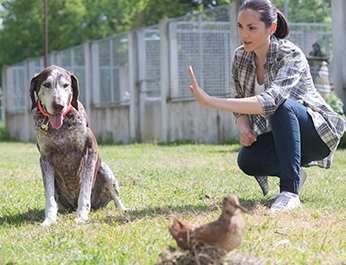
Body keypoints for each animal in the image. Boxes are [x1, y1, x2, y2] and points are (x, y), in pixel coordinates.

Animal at [28, 64, 125, 225]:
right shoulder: (45, 158)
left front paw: (81, 216)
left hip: (105, 170)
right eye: (46, 84)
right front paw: (49, 219)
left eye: (66, 85)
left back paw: (123, 209)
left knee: (116, 198)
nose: (58, 105)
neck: (60, 127)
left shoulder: (90, 152)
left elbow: (84, 190)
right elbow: (49, 197)